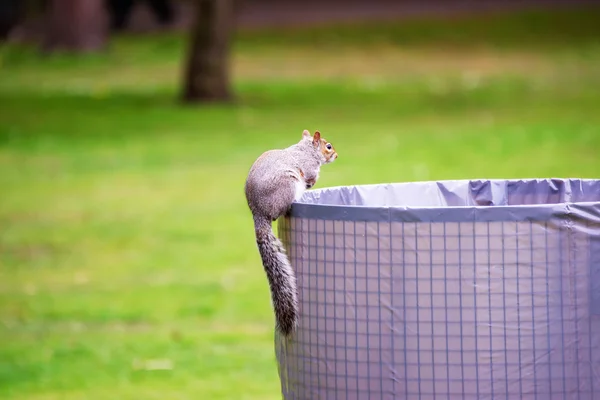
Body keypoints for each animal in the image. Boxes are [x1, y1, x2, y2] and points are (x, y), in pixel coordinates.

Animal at [244, 130, 338, 336]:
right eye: (328, 146)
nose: (336, 155)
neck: (306, 149)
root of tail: (259, 213)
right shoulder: (308, 166)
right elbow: (310, 176)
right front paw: (312, 182)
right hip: (288, 185)